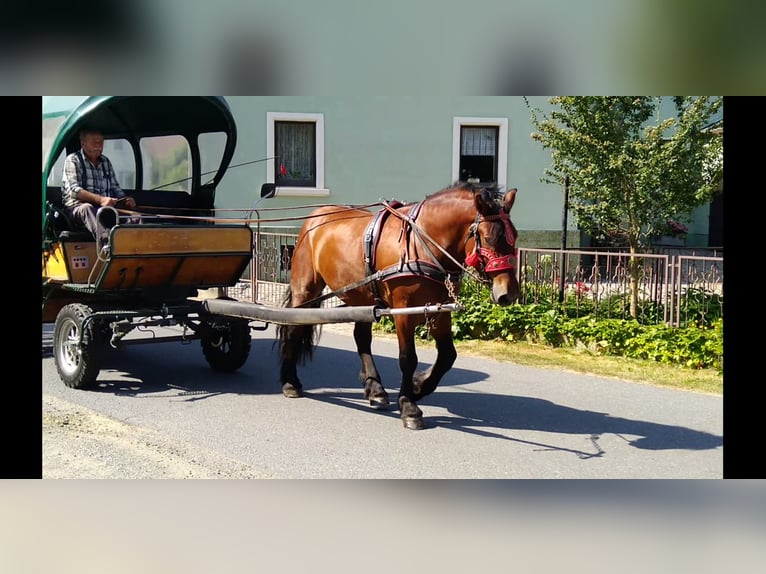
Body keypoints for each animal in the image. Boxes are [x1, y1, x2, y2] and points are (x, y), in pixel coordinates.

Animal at [278, 184, 520, 432]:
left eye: (515, 236)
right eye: (488, 237)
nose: (508, 293)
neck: (421, 244)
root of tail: (315, 217)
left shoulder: (440, 310)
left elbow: (447, 356)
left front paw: (418, 386)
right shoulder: (404, 312)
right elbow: (408, 358)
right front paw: (409, 406)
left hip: (362, 296)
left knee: (361, 338)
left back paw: (375, 388)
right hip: (305, 289)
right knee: (293, 328)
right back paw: (290, 381)